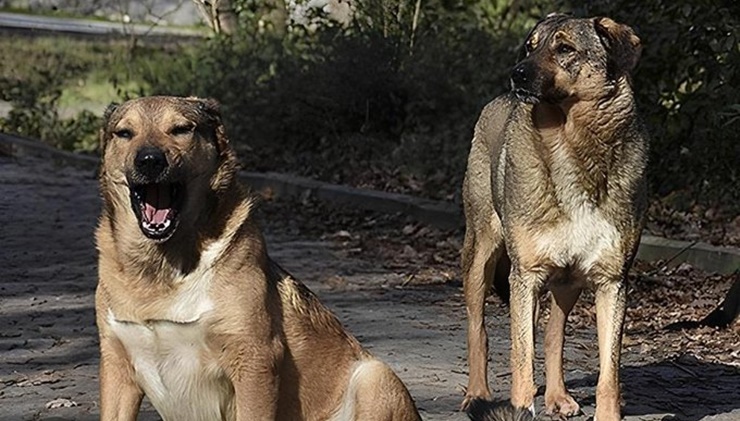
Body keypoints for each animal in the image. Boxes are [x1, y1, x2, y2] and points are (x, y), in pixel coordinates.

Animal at [94, 96, 420, 420]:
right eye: (124, 133)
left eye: (181, 129)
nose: (149, 160)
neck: (161, 265)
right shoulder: (116, 367)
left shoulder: (254, 359)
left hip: (374, 377)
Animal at [462, 13, 648, 420]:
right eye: (530, 46)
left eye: (564, 48)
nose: (516, 74)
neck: (572, 143)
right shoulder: (526, 276)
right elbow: (521, 360)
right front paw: (518, 405)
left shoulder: (612, 282)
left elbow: (608, 372)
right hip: (481, 258)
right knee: (479, 329)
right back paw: (477, 394)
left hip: (567, 282)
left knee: (552, 334)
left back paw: (557, 396)